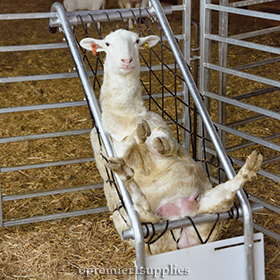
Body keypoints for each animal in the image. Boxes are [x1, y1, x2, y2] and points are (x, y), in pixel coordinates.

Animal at [80, 29, 264, 255]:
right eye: (107, 44)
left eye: (137, 41)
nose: (127, 60)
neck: (126, 116)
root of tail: (179, 225)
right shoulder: (104, 148)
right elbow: (122, 149)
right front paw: (136, 138)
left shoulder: (163, 130)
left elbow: (164, 143)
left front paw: (151, 140)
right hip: (137, 225)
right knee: (144, 210)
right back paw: (125, 172)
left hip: (208, 207)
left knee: (227, 193)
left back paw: (250, 167)